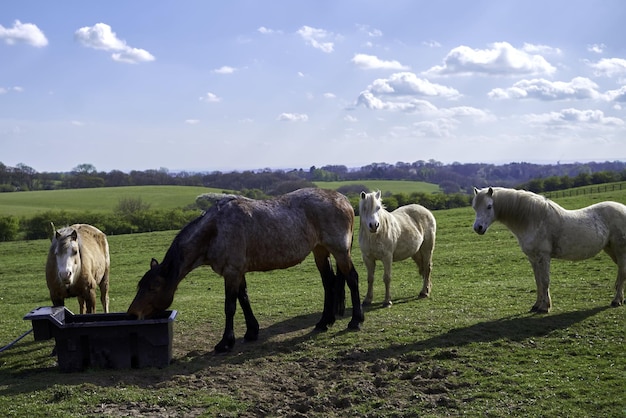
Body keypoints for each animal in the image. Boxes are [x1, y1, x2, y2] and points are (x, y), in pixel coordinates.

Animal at [125, 189, 360, 352]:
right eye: (140, 286)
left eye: (154, 287)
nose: (132, 313)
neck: (215, 229)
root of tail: (343, 199)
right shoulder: (238, 272)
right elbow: (244, 298)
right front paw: (251, 331)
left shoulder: (231, 272)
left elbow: (230, 306)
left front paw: (225, 342)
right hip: (320, 251)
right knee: (329, 283)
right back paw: (324, 322)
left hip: (340, 251)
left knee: (352, 279)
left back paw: (355, 321)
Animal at [472, 187, 624, 314]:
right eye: (474, 207)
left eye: (489, 206)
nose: (478, 228)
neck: (533, 219)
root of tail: (623, 208)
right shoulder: (533, 258)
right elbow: (538, 281)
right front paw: (537, 305)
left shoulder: (543, 257)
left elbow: (545, 281)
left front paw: (545, 308)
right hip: (610, 249)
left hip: (620, 250)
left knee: (622, 272)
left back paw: (616, 301)